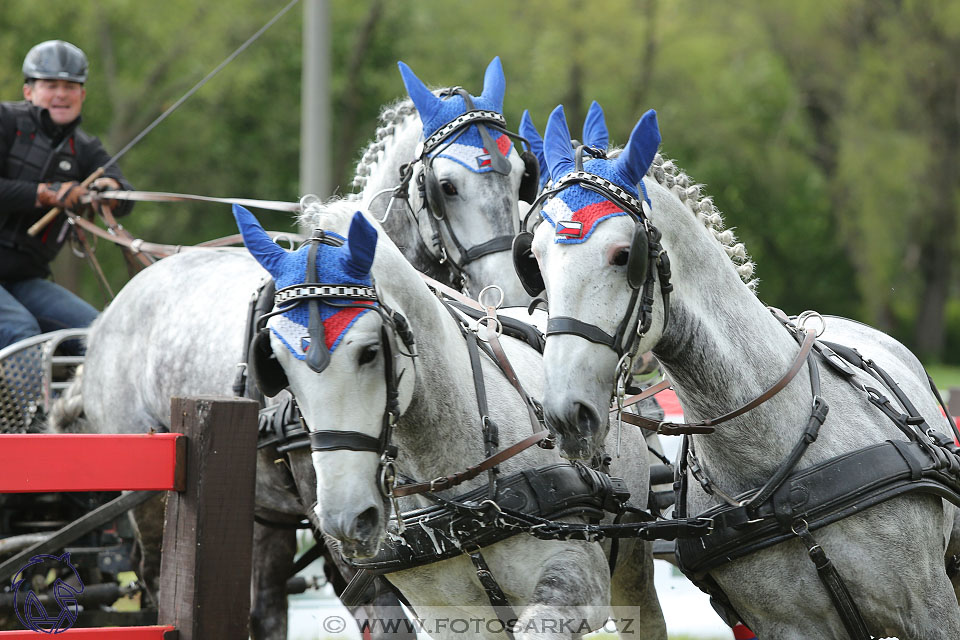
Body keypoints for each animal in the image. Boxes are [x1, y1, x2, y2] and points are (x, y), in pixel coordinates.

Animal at [234, 201, 668, 640]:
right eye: (277, 363)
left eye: (371, 351)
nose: (346, 519)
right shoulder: (449, 618)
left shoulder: (578, 579)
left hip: (631, 561)